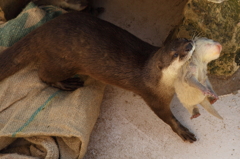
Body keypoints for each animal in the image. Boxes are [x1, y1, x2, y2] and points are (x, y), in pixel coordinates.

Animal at [0, 11, 196, 142]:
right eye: (175, 55)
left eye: (185, 39)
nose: (190, 45)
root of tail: (43, 31)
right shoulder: (154, 97)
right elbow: (166, 117)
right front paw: (183, 131)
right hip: (62, 63)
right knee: (42, 75)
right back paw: (66, 84)